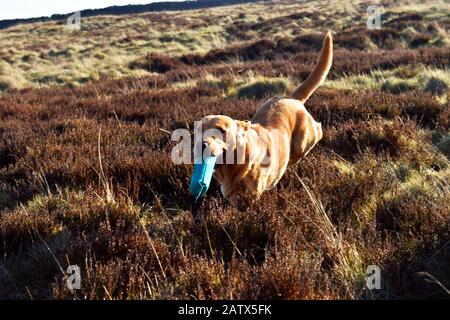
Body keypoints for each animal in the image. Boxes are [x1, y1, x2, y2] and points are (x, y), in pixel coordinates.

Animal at [197, 32, 334, 206]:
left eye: (221, 130)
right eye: (197, 131)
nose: (201, 145)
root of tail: (292, 98)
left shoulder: (252, 198)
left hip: (302, 143)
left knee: (317, 129)